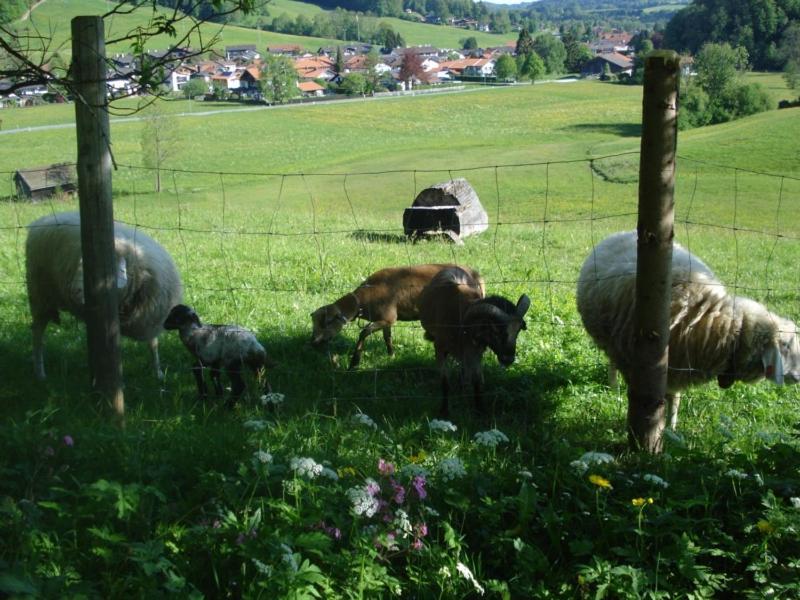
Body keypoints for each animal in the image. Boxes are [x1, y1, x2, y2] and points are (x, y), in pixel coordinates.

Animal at [25, 211, 182, 380]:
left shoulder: (150, 319)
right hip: (39, 297)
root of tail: (40, 220)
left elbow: (153, 345)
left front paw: (158, 373)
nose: (73, 291)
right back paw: (40, 372)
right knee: (37, 334)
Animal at [310, 264, 488, 368]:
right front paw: (391, 355)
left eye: (326, 323)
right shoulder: (386, 321)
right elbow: (387, 338)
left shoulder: (388, 317)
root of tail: (477, 276)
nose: (313, 343)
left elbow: (364, 332)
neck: (362, 301)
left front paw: (354, 362)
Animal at [418, 268, 532, 418]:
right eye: (494, 330)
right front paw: (444, 411)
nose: (508, 359)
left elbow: (477, 381)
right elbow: (445, 382)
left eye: (518, 330)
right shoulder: (440, 349)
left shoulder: (476, 351)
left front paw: (480, 410)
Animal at [580, 232, 796, 428]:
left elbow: (674, 399)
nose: (797, 377)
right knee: (612, 361)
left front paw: (670, 428)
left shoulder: (678, 365)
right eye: (786, 346)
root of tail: (620, 233)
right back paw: (613, 386)